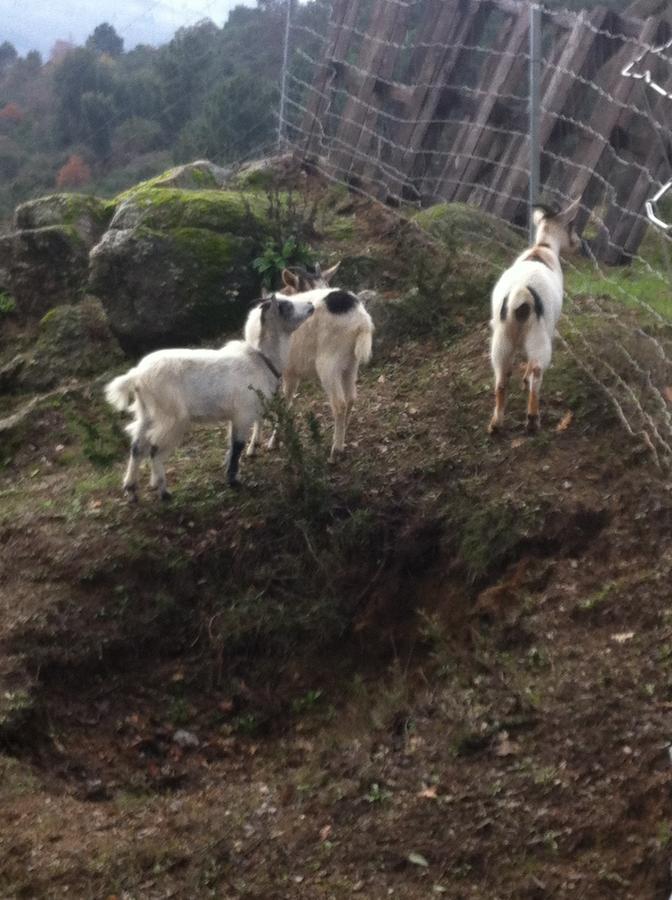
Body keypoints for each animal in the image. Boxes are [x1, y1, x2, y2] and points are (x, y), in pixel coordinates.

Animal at [105, 298, 316, 500]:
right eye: (285, 306)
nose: (310, 305)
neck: (260, 361)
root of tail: (137, 376)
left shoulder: (237, 416)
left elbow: (232, 444)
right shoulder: (243, 414)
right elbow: (237, 446)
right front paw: (233, 480)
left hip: (147, 413)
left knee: (136, 447)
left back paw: (131, 490)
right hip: (172, 418)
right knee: (154, 450)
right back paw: (163, 492)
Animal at [245, 262, 372, 458]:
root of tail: (362, 320)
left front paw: (255, 445)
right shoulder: (290, 373)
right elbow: (286, 402)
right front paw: (275, 440)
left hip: (328, 364)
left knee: (340, 404)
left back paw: (336, 450)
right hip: (351, 363)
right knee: (351, 397)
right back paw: (343, 433)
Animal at [488, 198, 584, 436]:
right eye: (571, 225)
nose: (579, 244)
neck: (543, 248)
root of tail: (520, 294)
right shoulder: (549, 327)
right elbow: (532, 367)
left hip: (502, 337)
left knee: (501, 378)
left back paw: (496, 423)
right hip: (538, 334)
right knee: (537, 369)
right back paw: (532, 420)